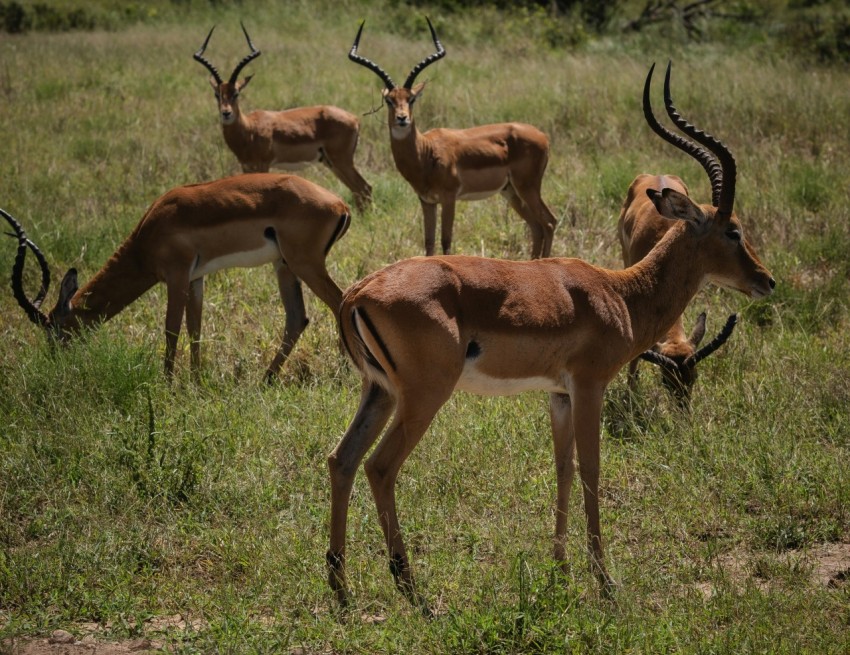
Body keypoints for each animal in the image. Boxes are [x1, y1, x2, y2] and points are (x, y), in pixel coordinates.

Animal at [3, 174, 350, 382]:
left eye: (54, 330)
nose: (55, 363)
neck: (148, 234)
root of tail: (340, 204)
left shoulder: (177, 275)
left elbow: (171, 329)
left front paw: (168, 384)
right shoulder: (196, 279)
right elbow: (195, 326)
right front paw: (196, 380)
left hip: (305, 263)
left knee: (339, 303)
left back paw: (344, 372)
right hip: (285, 265)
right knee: (297, 318)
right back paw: (266, 379)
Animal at [194, 23, 373, 212]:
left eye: (236, 93)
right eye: (217, 94)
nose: (226, 113)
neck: (249, 129)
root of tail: (355, 118)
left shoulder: (263, 165)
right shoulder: (246, 166)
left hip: (341, 160)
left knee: (364, 188)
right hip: (331, 162)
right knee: (358, 191)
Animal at [348, 18, 558, 259]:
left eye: (411, 99)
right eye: (390, 101)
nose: (402, 119)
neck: (425, 152)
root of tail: (543, 136)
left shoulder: (449, 198)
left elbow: (446, 241)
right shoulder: (427, 201)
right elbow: (429, 242)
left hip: (527, 187)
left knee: (549, 222)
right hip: (511, 191)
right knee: (536, 226)